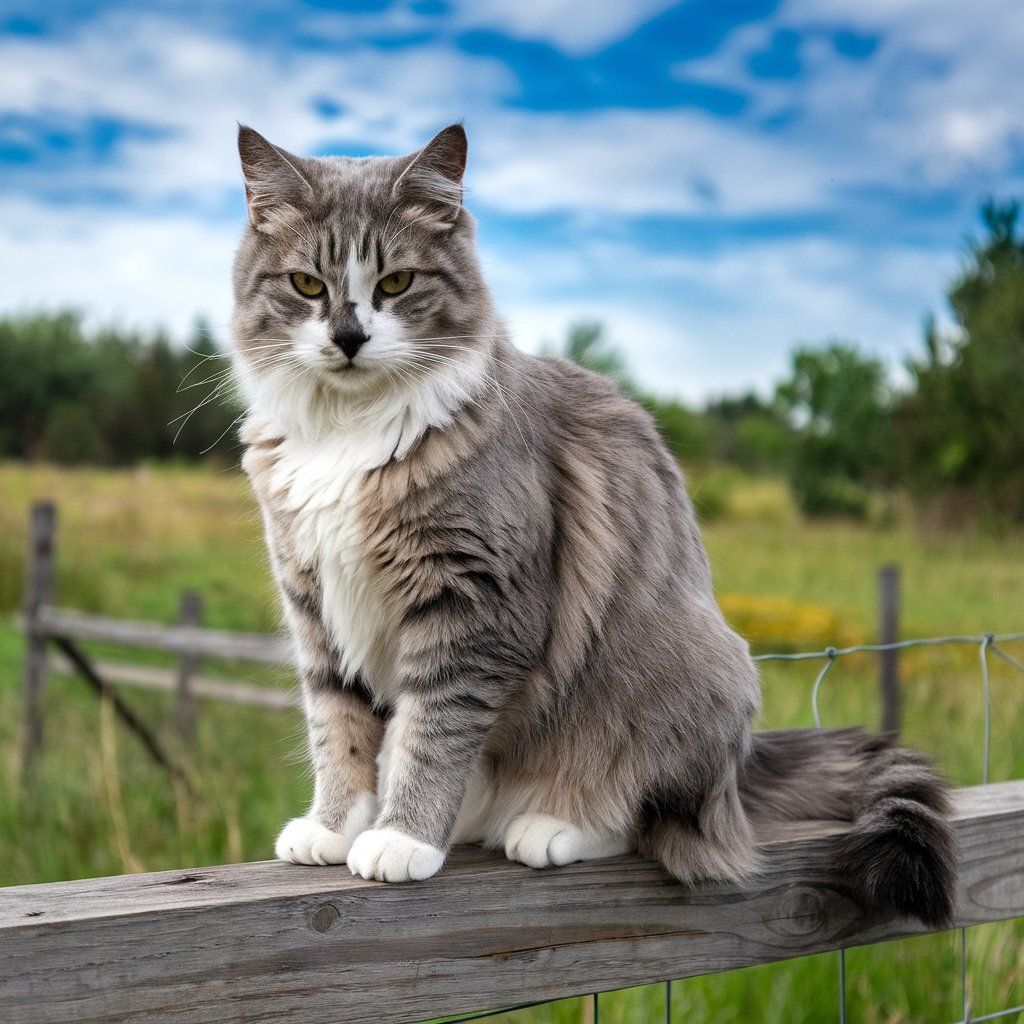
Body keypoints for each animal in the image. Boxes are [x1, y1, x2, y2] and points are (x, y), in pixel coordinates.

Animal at [230, 123, 950, 925]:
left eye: (395, 284)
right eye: (307, 286)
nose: (349, 338)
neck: (348, 433)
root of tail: (742, 770)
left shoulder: (473, 608)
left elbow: (430, 734)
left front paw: (402, 839)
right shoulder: (314, 603)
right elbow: (340, 728)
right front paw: (332, 829)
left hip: (676, 684)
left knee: (655, 819)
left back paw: (550, 827)